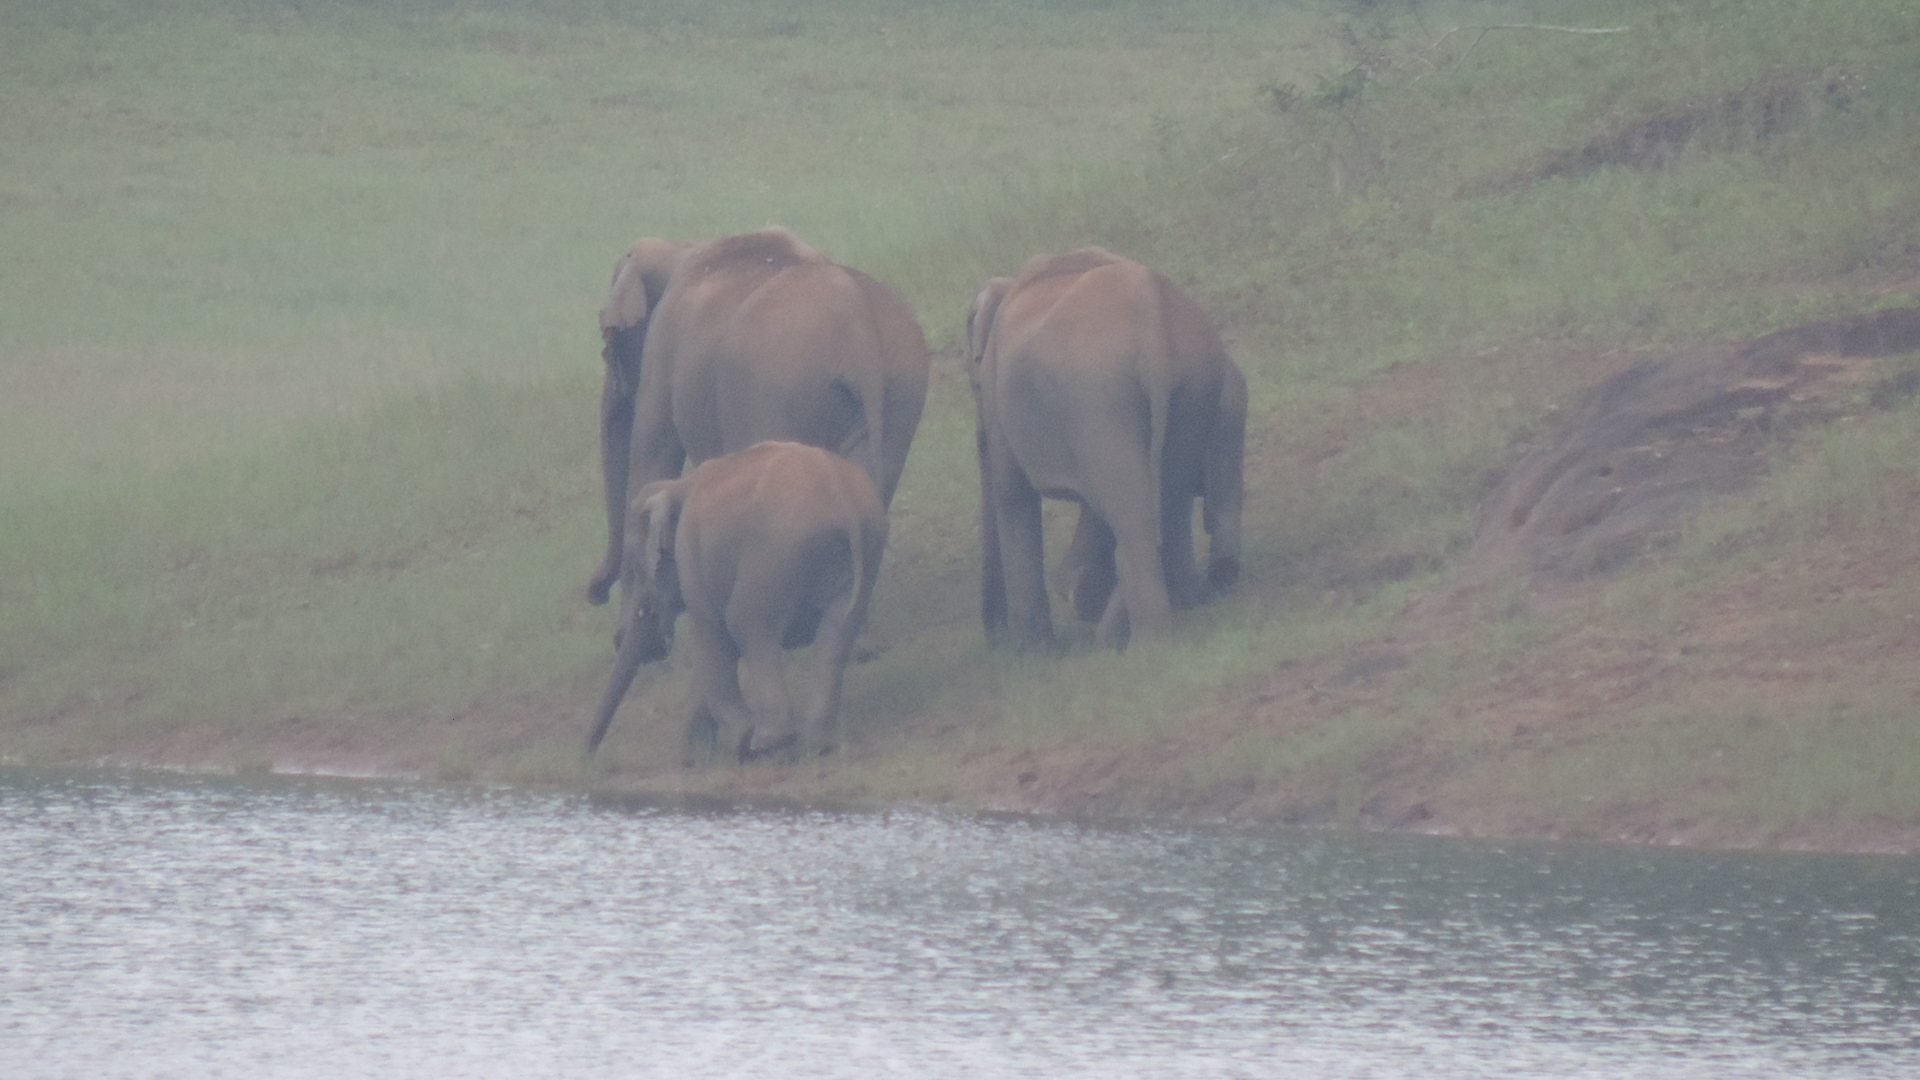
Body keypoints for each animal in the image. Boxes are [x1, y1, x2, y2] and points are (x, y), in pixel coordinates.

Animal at [579, 441, 887, 760]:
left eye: (635, 567)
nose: (583, 759)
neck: (678, 485)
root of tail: (846, 503)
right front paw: (697, 754)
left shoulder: (691, 554)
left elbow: (710, 635)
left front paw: (737, 741)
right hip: (860, 556)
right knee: (837, 633)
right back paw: (818, 744)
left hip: (771, 558)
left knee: (747, 624)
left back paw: (768, 743)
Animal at [583, 226, 929, 607]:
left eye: (608, 344)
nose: (595, 594)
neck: (682, 246)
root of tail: (858, 330)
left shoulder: (661, 349)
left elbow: (652, 455)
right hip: (900, 391)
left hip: (777, 395)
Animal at [960, 245, 1244, 645]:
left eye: (974, 382)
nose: (995, 638)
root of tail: (1154, 334)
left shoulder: (1002, 395)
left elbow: (1012, 495)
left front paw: (1036, 648)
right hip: (1192, 387)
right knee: (1166, 498)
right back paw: (1185, 603)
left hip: (1099, 398)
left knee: (1133, 512)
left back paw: (1142, 639)